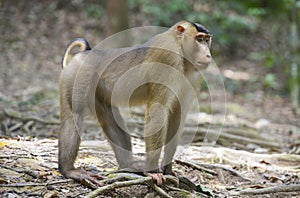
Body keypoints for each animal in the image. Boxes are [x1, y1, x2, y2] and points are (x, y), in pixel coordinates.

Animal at [58, 20, 212, 186]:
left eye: (206, 40)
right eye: (199, 39)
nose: (208, 54)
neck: (181, 50)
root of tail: (85, 53)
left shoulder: (194, 75)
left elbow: (178, 114)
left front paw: (168, 168)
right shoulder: (167, 57)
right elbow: (158, 111)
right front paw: (153, 170)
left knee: (108, 115)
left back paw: (128, 164)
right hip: (77, 75)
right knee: (74, 115)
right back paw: (68, 170)